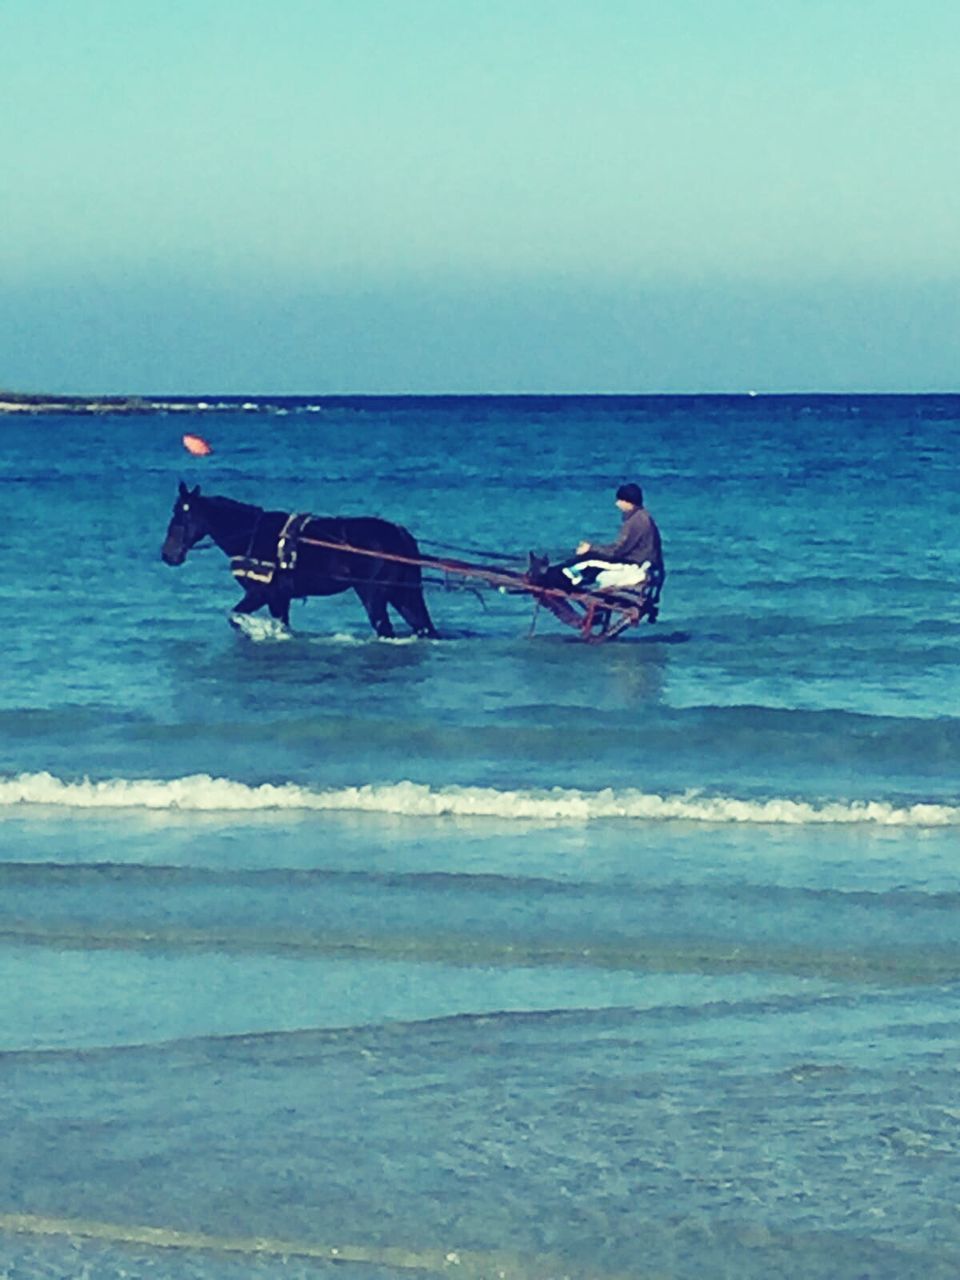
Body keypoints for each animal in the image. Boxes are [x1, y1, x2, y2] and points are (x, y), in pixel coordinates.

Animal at [161, 481, 440, 637]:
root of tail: (399, 534)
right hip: (403, 593)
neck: (252, 533)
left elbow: (235, 616)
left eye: (182, 515)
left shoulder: (262, 594)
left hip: (373, 594)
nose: (168, 554)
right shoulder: (280, 598)